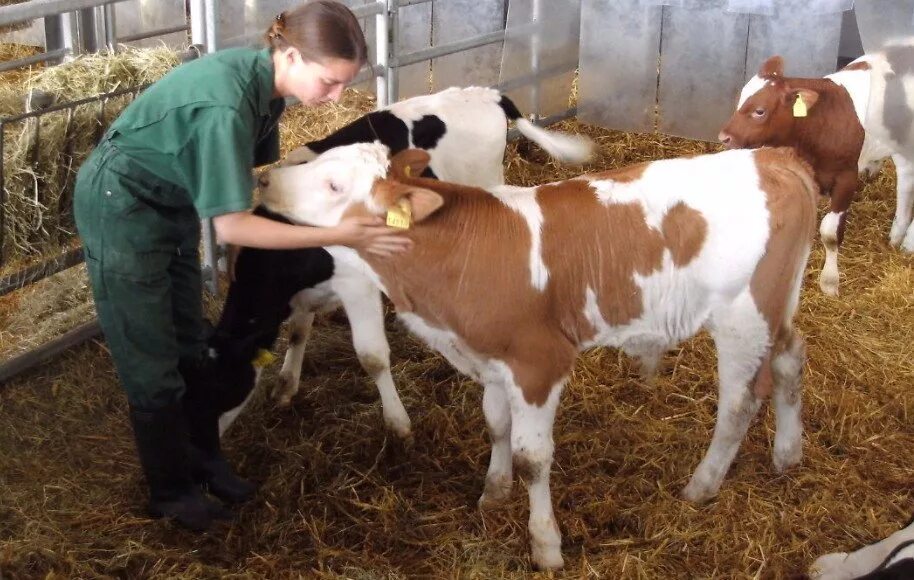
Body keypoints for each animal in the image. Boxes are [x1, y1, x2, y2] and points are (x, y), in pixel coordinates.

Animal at [216, 87, 592, 440]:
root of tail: (488, 93)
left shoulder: (357, 284)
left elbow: (371, 357)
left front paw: (397, 420)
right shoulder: (308, 290)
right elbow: (298, 331)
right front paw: (286, 384)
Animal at [258, 143, 820, 568]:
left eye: (335, 185)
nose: (264, 179)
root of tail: (774, 157)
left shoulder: (538, 362)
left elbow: (534, 457)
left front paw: (545, 543)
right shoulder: (492, 359)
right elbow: (496, 426)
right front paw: (493, 492)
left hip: (744, 318)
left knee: (739, 404)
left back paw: (701, 485)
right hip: (779, 310)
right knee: (791, 358)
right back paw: (787, 453)